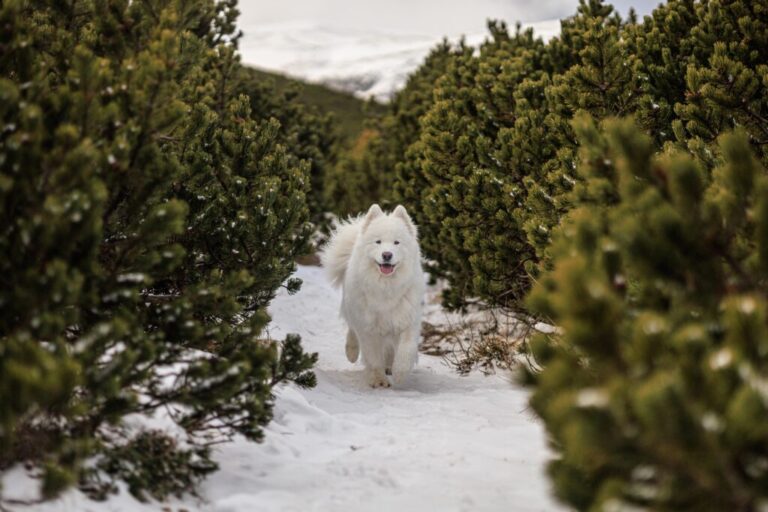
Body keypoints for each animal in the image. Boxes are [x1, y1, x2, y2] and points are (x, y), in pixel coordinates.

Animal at [320, 204, 424, 388]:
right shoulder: (368, 327)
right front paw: (378, 380)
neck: (386, 287)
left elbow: (406, 348)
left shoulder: (407, 319)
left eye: (397, 242)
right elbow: (373, 357)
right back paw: (351, 352)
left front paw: (400, 373)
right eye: (378, 242)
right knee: (352, 331)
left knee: (389, 349)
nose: (387, 255)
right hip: (352, 309)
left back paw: (390, 366)